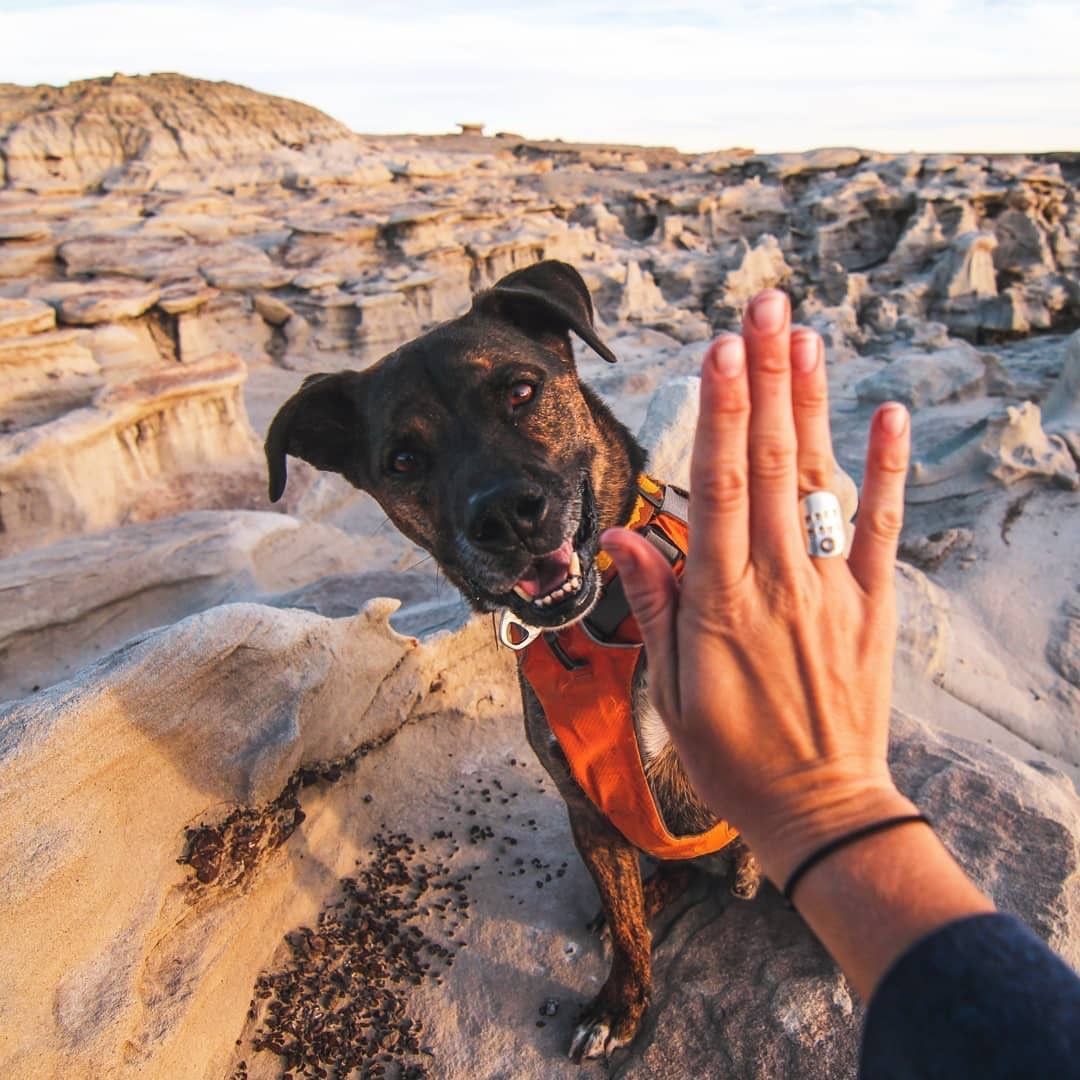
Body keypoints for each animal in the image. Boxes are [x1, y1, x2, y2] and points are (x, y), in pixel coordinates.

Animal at [264, 261, 756, 1062]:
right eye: (403, 459)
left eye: (521, 391)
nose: (505, 516)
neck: (604, 625)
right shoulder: (589, 806)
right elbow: (628, 928)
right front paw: (619, 1002)